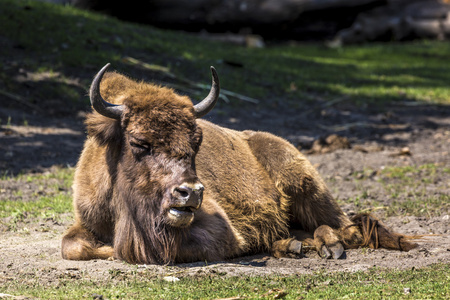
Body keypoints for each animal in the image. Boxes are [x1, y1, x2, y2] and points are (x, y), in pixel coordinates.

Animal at [60, 64, 418, 264]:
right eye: (139, 143)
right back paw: (294, 246)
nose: (191, 193)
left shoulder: (222, 231)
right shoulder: (86, 220)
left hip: (304, 183)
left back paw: (329, 246)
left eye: (197, 141)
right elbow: (72, 246)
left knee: (350, 229)